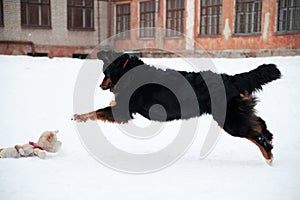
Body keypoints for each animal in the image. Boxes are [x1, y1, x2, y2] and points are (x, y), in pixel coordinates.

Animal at [73, 51, 282, 164]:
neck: (126, 70)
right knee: (260, 124)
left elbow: (96, 112)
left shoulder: (123, 110)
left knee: (257, 135)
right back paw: (270, 139)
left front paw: (78, 117)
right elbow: (101, 109)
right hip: (237, 113)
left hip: (230, 120)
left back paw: (269, 156)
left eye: (104, 73)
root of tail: (231, 79)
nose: (101, 86)